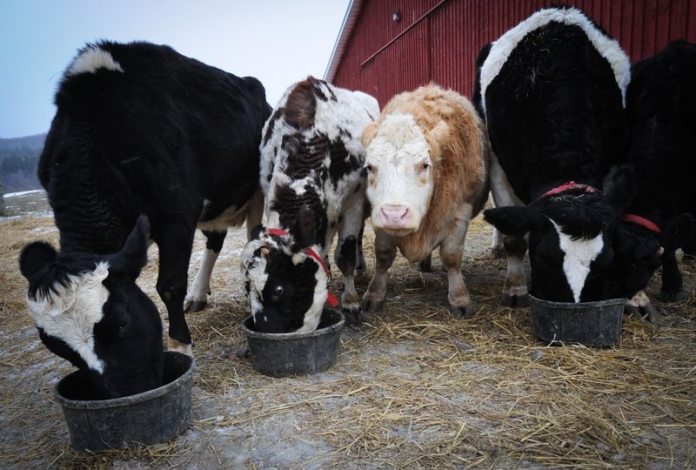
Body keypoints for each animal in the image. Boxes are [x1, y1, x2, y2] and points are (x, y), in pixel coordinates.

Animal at [18, 41, 270, 397]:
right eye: (59, 349)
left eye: (122, 321)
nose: (125, 394)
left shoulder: (177, 214)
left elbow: (169, 286)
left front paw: (180, 347)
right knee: (215, 240)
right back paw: (198, 294)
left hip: (257, 187)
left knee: (253, 237)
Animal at [240, 77, 379, 333]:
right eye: (247, 291)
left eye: (278, 289)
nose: (267, 332)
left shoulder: (354, 201)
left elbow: (345, 255)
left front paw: (351, 302)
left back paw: (360, 266)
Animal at [359, 84, 489, 318]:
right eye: (370, 167)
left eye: (424, 165)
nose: (395, 214)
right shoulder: (380, 217)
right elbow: (383, 257)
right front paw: (373, 295)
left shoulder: (460, 212)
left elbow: (451, 256)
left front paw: (460, 298)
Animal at [477, 7, 635, 305]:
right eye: (544, 258)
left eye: (604, 263)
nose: (573, 306)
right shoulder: (499, 168)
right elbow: (514, 237)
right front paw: (515, 289)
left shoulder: (612, 166)